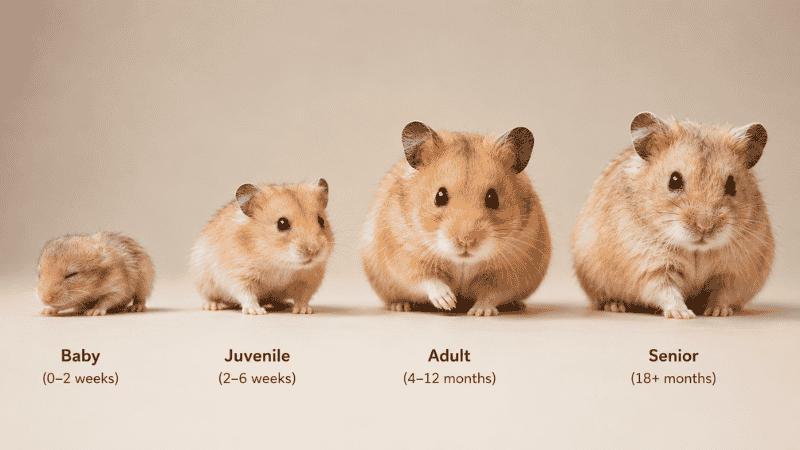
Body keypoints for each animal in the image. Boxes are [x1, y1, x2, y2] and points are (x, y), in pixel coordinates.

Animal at [191, 179, 333, 315]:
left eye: (321, 221)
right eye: (282, 223)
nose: (313, 251)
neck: (279, 263)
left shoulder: (309, 279)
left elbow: (303, 297)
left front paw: (303, 310)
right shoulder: (238, 274)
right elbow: (247, 294)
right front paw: (256, 311)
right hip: (203, 279)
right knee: (208, 296)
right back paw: (213, 306)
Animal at [361, 122, 551, 316]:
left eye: (493, 198)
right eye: (440, 196)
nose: (466, 241)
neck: (462, 261)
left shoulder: (511, 270)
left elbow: (492, 293)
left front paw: (479, 312)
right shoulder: (405, 257)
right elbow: (427, 280)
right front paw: (447, 302)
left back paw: (517, 305)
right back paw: (401, 306)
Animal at [571, 112, 774, 319]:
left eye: (731, 185)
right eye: (674, 180)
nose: (704, 227)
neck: (696, 250)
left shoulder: (735, 271)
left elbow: (723, 294)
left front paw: (718, 312)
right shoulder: (650, 267)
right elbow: (666, 291)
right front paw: (683, 314)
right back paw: (615, 306)